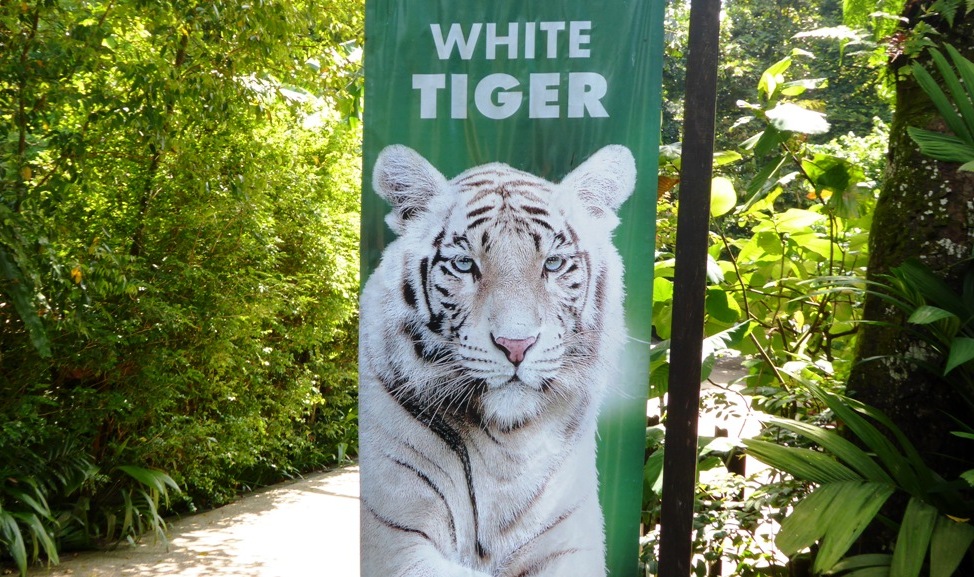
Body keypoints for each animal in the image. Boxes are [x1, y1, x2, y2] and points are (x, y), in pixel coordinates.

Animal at [359, 144, 636, 577]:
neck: (506, 449)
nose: (516, 345)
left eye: (553, 264)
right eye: (463, 264)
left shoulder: (570, 539)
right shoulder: (396, 544)